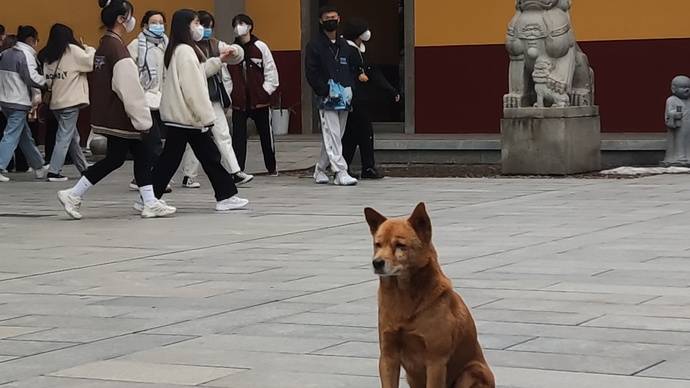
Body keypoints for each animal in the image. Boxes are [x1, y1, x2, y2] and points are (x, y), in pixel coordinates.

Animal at [362, 203, 492, 388]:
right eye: (377, 244)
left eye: (400, 245)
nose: (377, 263)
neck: (403, 297)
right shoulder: (388, 356)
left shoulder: (435, 361)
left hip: (472, 372)